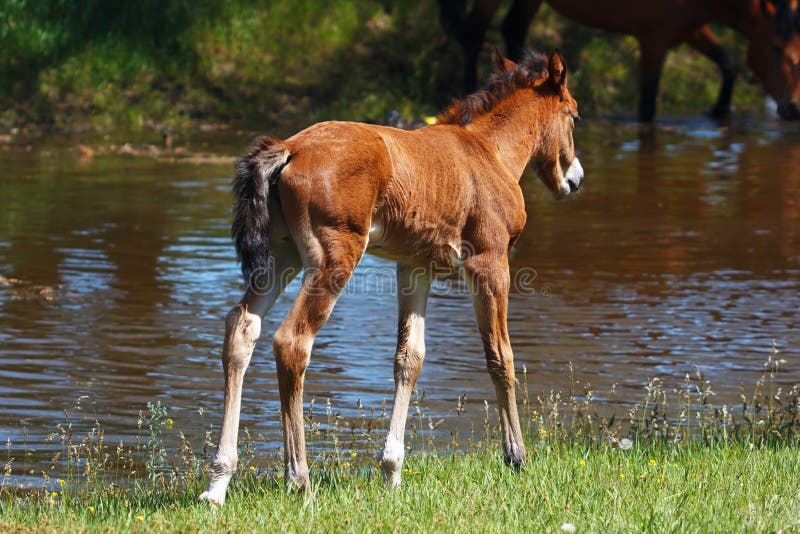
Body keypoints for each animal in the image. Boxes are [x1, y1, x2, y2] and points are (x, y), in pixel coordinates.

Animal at [197, 50, 584, 506]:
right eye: (574, 115)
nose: (575, 180)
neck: (490, 152)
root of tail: (288, 148)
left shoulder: (414, 267)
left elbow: (409, 358)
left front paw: (392, 470)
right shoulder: (490, 264)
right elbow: (500, 356)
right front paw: (516, 456)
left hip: (280, 256)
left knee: (242, 327)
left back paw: (218, 482)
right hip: (333, 258)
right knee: (292, 341)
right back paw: (298, 478)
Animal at [440, 0, 796, 121]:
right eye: (776, 47)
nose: (794, 108)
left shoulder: (690, 29)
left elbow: (728, 62)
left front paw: (720, 109)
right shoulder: (655, 39)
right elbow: (647, 107)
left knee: (513, 28)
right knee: (475, 32)